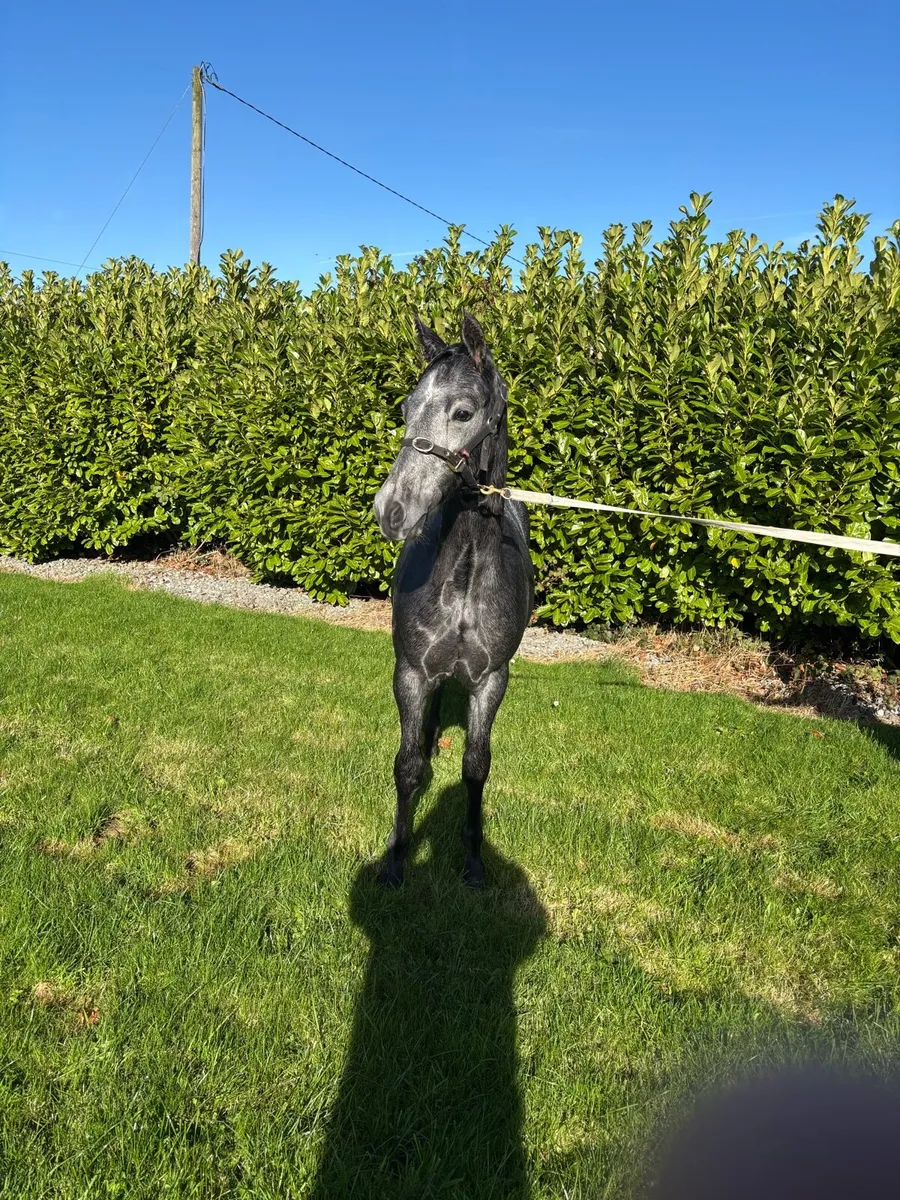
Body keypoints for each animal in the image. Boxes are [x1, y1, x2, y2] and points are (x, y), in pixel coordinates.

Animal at [373, 314, 534, 887]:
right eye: (405, 408)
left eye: (463, 412)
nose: (391, 510)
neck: (463, 582)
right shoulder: (410, 672)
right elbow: (405, 766)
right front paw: (396, 859)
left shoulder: (491, 681)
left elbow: (475, 767)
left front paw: (474, 861)